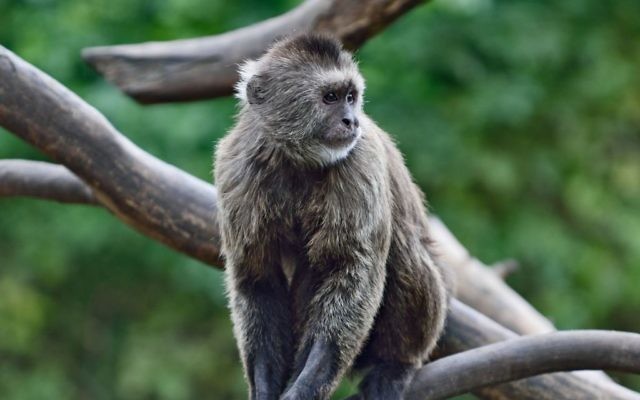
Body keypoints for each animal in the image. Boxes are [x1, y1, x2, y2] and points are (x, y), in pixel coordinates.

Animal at [214, 34, 448, 400]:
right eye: (330, 98)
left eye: (351, 97)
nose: (351, 120)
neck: (298, 161)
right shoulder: (235, 166)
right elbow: (257, 277)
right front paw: (265, 387)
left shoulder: (360, 159)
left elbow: (352, 272)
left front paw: (306, 387)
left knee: (402, 255)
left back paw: (395, 364)